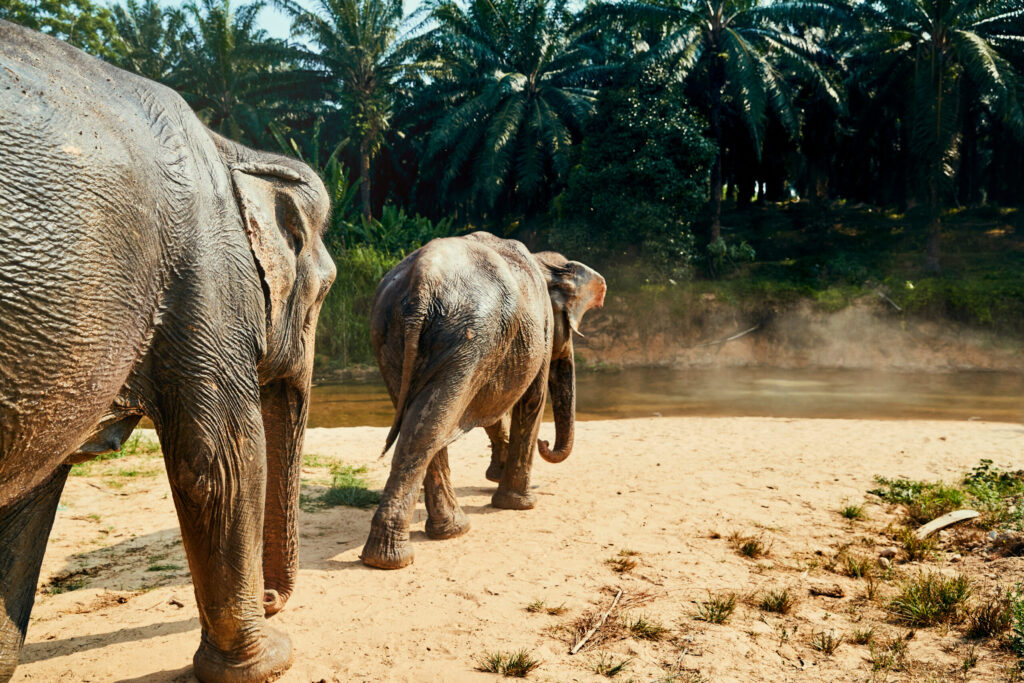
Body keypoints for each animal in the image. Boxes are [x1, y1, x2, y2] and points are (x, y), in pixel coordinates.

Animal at [0, 21, 335, 683]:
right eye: (327, 291)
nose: (270, 598)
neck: (233, 149)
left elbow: (27, 504)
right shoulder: (204, 276)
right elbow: (220, 462)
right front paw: (269, 662)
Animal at [361, 232, 606, 570]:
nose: (545, 444)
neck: (546, 264)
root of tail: (422, 279)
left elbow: (494, 406)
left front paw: (497, 476)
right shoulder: (539, 333)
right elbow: (531, 400)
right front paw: (521, 504)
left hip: (393, 335)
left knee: (424, 424)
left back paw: (445, 533)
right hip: (466, 336)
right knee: (429, 429)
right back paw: (396, 557)